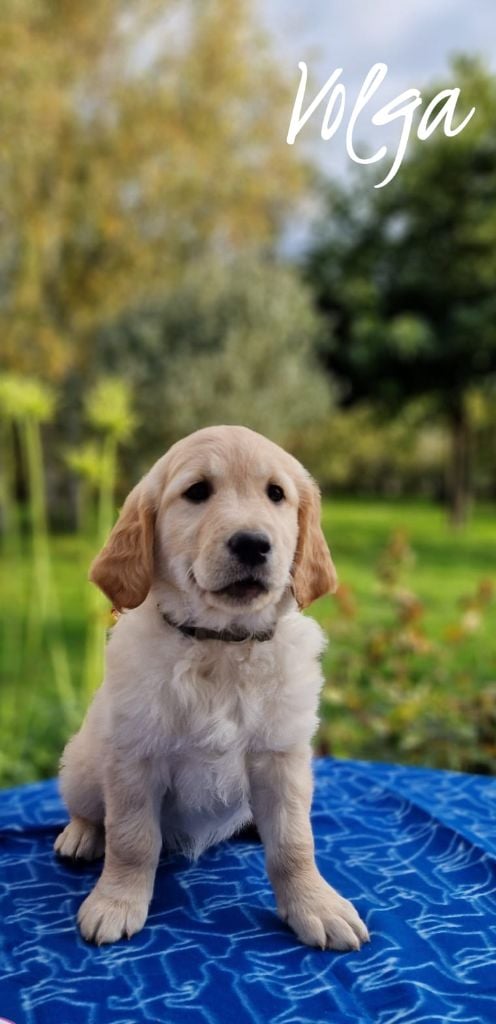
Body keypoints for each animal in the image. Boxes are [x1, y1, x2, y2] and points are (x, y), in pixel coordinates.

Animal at [55, 423, 368, 950]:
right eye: (197, 491)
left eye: (276, 494)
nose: (253, 544)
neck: (221, 645)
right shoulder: (135, 756)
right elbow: (132, 839)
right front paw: (116, 902)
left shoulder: (283, 757)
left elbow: (295, 842)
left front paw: (315, 905)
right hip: (82, 763)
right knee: (89, 810)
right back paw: (80, 836)